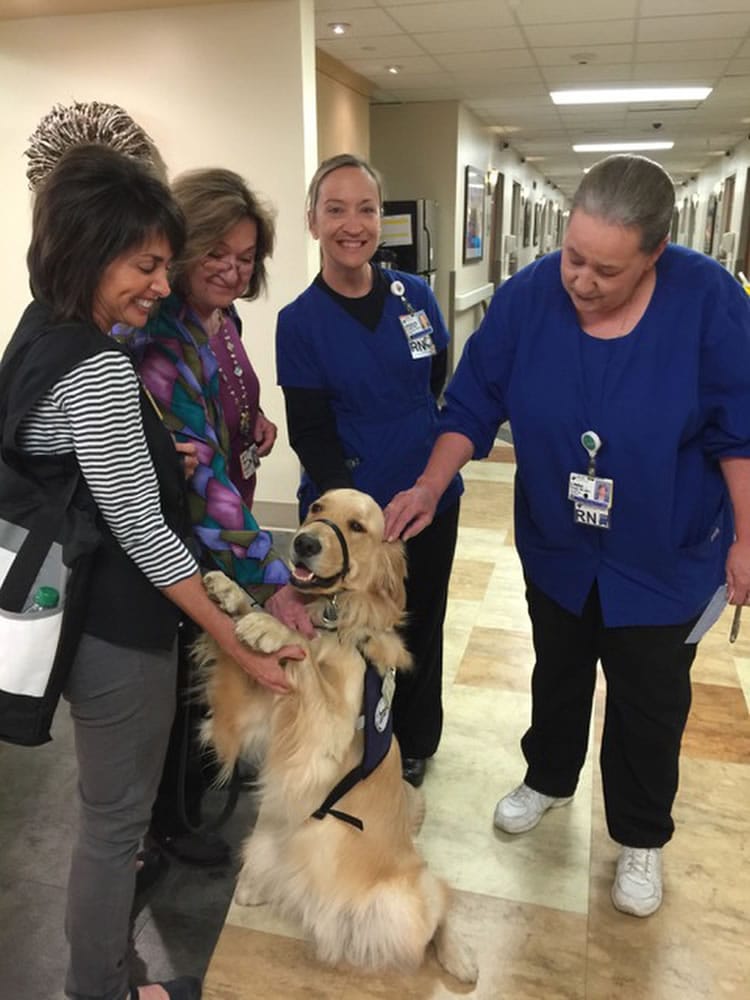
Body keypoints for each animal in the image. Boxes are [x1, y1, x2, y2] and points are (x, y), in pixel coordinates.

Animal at [194, 488, 476, 980]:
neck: (334, 618)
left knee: (440, 907)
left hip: (408, 899)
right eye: (317, 508)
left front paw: (270, 627)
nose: (304, 542)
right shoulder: (257, 710)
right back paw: (257, 887)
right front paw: (232, 593)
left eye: (358, 527)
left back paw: (459, 958)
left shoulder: (327, 733)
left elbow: (304, 651)